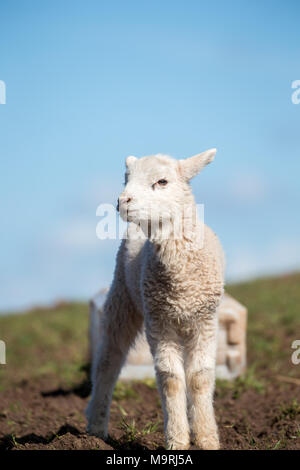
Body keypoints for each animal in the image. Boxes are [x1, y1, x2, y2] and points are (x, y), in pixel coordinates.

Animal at [85, 149, 224, 450]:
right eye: (126, 179)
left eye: (162, 181)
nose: (123, 201)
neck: (181, 284)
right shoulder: (159, 322)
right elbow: (171, 380)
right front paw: (177, 440)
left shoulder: (205, 320)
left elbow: (199, 378)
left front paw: (207, 438)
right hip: (122, 296)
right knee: (108, 360)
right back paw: (95, 427)